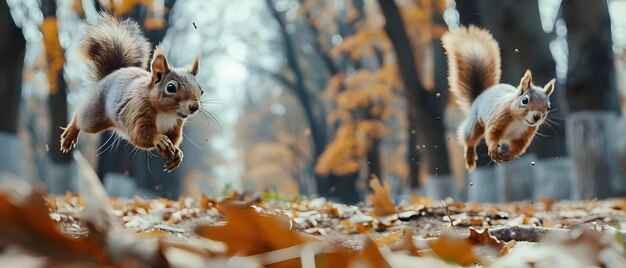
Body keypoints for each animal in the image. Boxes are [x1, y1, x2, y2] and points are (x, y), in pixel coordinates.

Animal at [59, 13, 202, 172]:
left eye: (201, 90)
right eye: (171, 88)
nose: (194, 107)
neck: (166, 113)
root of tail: (109, 75)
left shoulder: (175, 125)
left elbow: (174, 139)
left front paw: (177, 154)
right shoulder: (137, 110)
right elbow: (141, 134)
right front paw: (160, 140)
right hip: (94, 116)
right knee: (80, 118)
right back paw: (69, 135)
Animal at [438, 26, 556, 171]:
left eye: (548, 107)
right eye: (525, 100)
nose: (537, 117)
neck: (519, 120)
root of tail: (480, 96)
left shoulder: (526, 133)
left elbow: (519, 146)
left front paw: (509, 155)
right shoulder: (500, 117)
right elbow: (492, 133)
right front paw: (494, 150)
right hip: (475, 124)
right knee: (469, 139)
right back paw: (470, 158)